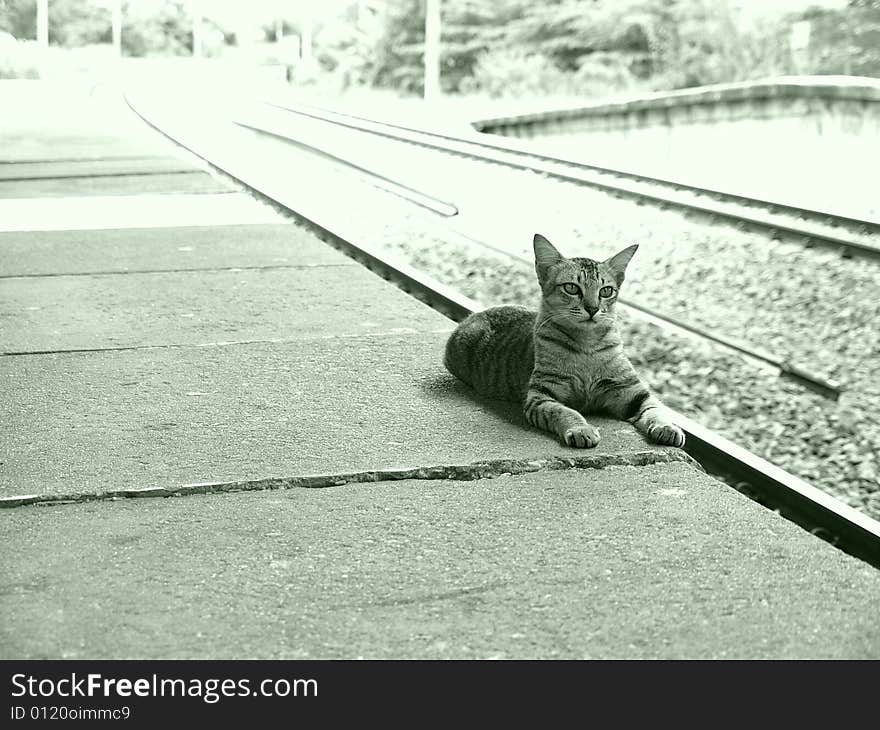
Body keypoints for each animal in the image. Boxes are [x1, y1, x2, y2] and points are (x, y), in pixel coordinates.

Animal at [444, 235, 684, 450]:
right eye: (571, 288)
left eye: (606, 291)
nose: (593, 308)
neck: (588, 346)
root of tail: (474, 315)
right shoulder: (542, 396)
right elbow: (564, 411)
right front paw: (581, 429)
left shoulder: (631, 390)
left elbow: (655, 408)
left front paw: (667, 426)